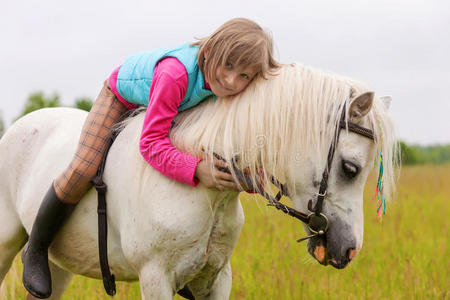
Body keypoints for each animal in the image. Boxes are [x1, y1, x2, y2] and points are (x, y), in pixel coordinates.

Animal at [0, 62, 398, 298]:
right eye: (350, 168)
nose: (349, 249)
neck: (207, 193)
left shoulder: (215, 279)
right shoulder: (156, 279)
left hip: (58, 266)